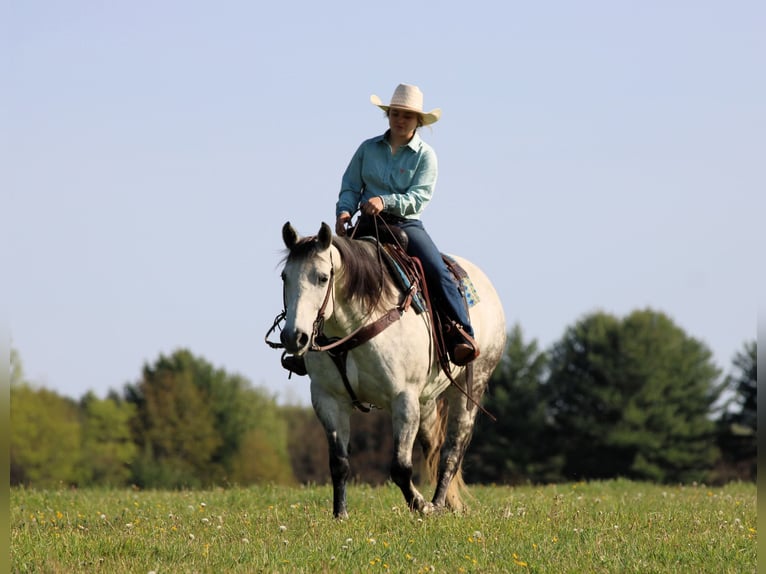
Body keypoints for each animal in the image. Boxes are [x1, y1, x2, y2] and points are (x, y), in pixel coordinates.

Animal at [273, 221, 506, 518]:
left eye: (323, 277)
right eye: (285, 277)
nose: (294, 337)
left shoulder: (403, 399)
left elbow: (400, 467)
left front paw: (420, 505)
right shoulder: (328, 399)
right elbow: (339, 463)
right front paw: (340, 514)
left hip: (470, 386)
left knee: (451, 452)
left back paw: (437, 502)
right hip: (426, 399)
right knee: (434, 447)